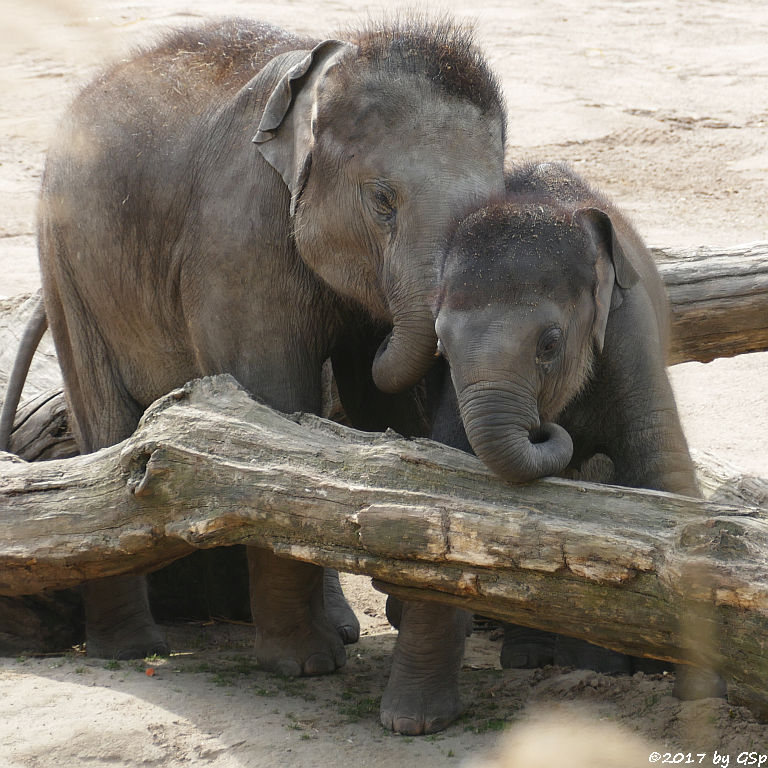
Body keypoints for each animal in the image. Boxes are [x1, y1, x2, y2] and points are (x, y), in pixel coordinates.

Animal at [34, 12, 510, 724]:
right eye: (383, 200)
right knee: (105, 428)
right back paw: (131, 650)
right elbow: (272, 403)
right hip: (67, 266)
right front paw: (304, 667)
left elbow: (380, 412)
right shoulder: (238, 241)